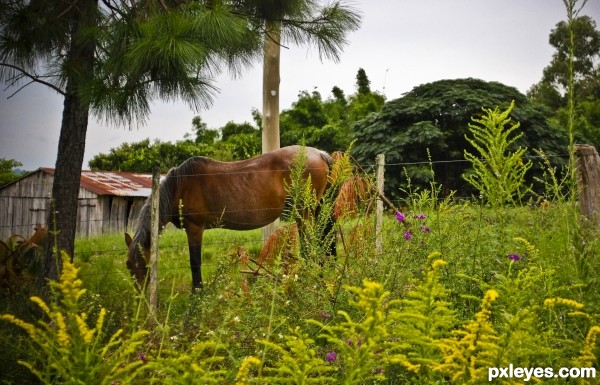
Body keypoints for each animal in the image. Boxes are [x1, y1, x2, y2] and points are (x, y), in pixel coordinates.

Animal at [125, 146, 338, 290]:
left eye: (146, 265)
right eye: (128, 266)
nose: (141, 300)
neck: (180, 186)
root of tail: (319, 153)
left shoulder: (194, 229)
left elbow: (195, 263)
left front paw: (197, 293)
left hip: (305, 213)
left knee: (311, 246)